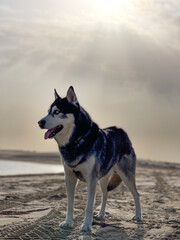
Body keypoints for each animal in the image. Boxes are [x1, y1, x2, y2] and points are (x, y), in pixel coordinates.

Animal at [38, 86, 142, 231]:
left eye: (57, 112)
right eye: (48, 112)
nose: (39, 122)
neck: (76, 141)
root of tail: (122, 131)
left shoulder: (91, 179)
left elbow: (88, 206)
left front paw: (86, 225)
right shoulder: (69, 178)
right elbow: (70, 204)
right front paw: (68, 222)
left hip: (126, 175)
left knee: (136, 195)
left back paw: (138, 216)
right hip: (103, 179)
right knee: (105, 194)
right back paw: (101, 214)